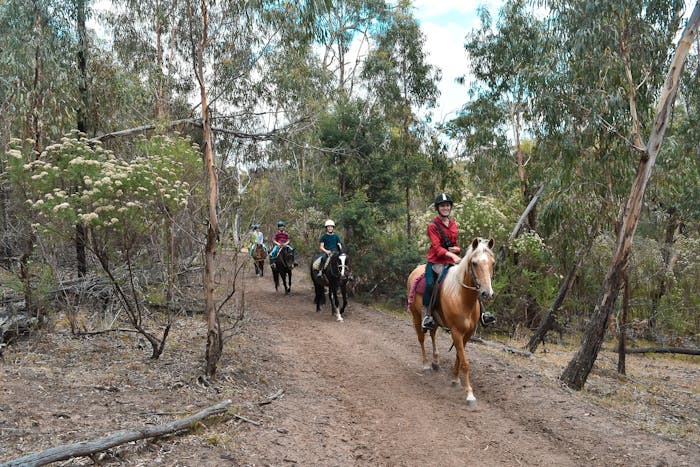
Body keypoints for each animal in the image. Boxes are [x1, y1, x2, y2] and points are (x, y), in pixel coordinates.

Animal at [408, 238, 494, 406]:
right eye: (474, 263)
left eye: (492, 263)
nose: (487, 293)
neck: (462, 297)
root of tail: (415, 270)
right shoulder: (456, 332)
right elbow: (465, 363)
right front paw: (470, 395)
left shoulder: (467, 334)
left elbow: (459, 358)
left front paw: (455, 380)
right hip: (416, 315)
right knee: (421, 338)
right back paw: (426, 365)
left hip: (435, 320)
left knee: (433, 334)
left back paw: (435, 361)